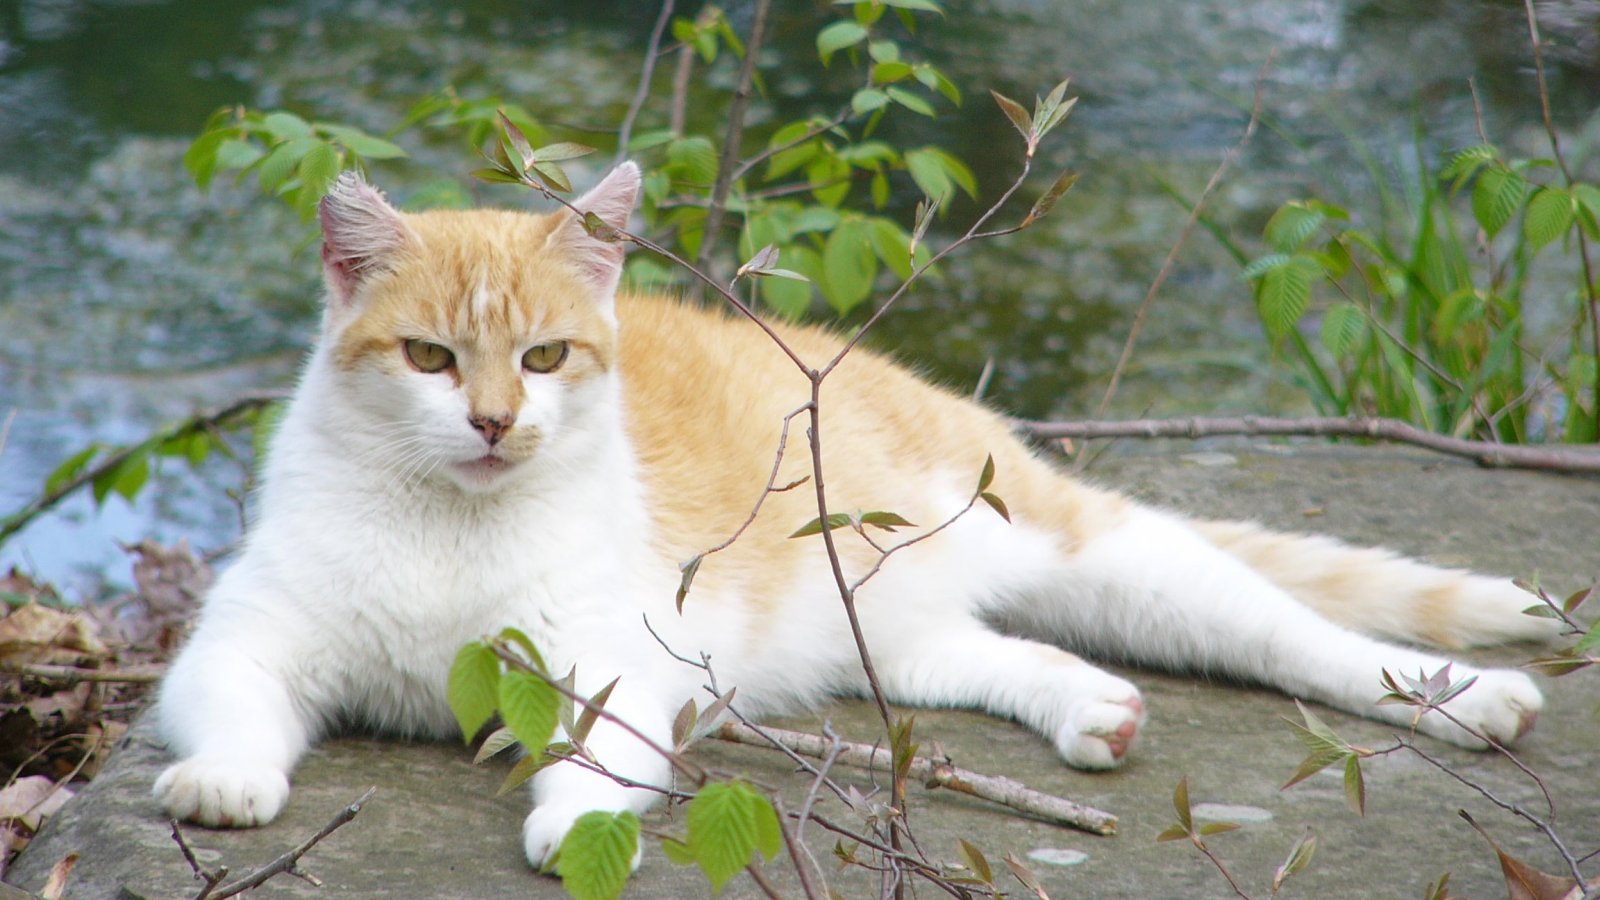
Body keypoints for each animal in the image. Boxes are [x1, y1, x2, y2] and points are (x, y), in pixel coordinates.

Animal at [150, 162, 1548, 871]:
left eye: (544, 358)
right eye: (432, 360)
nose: (495, 423)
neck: (451, 519)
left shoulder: (617, 662)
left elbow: (603, 752)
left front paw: (578, 818)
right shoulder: (237, 640)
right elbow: (233, 704)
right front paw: (224, 779)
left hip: (1087, 547)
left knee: (1298, 638)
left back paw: (1463, 697)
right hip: (891, 634)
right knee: (996, 653)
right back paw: (1092, 709)